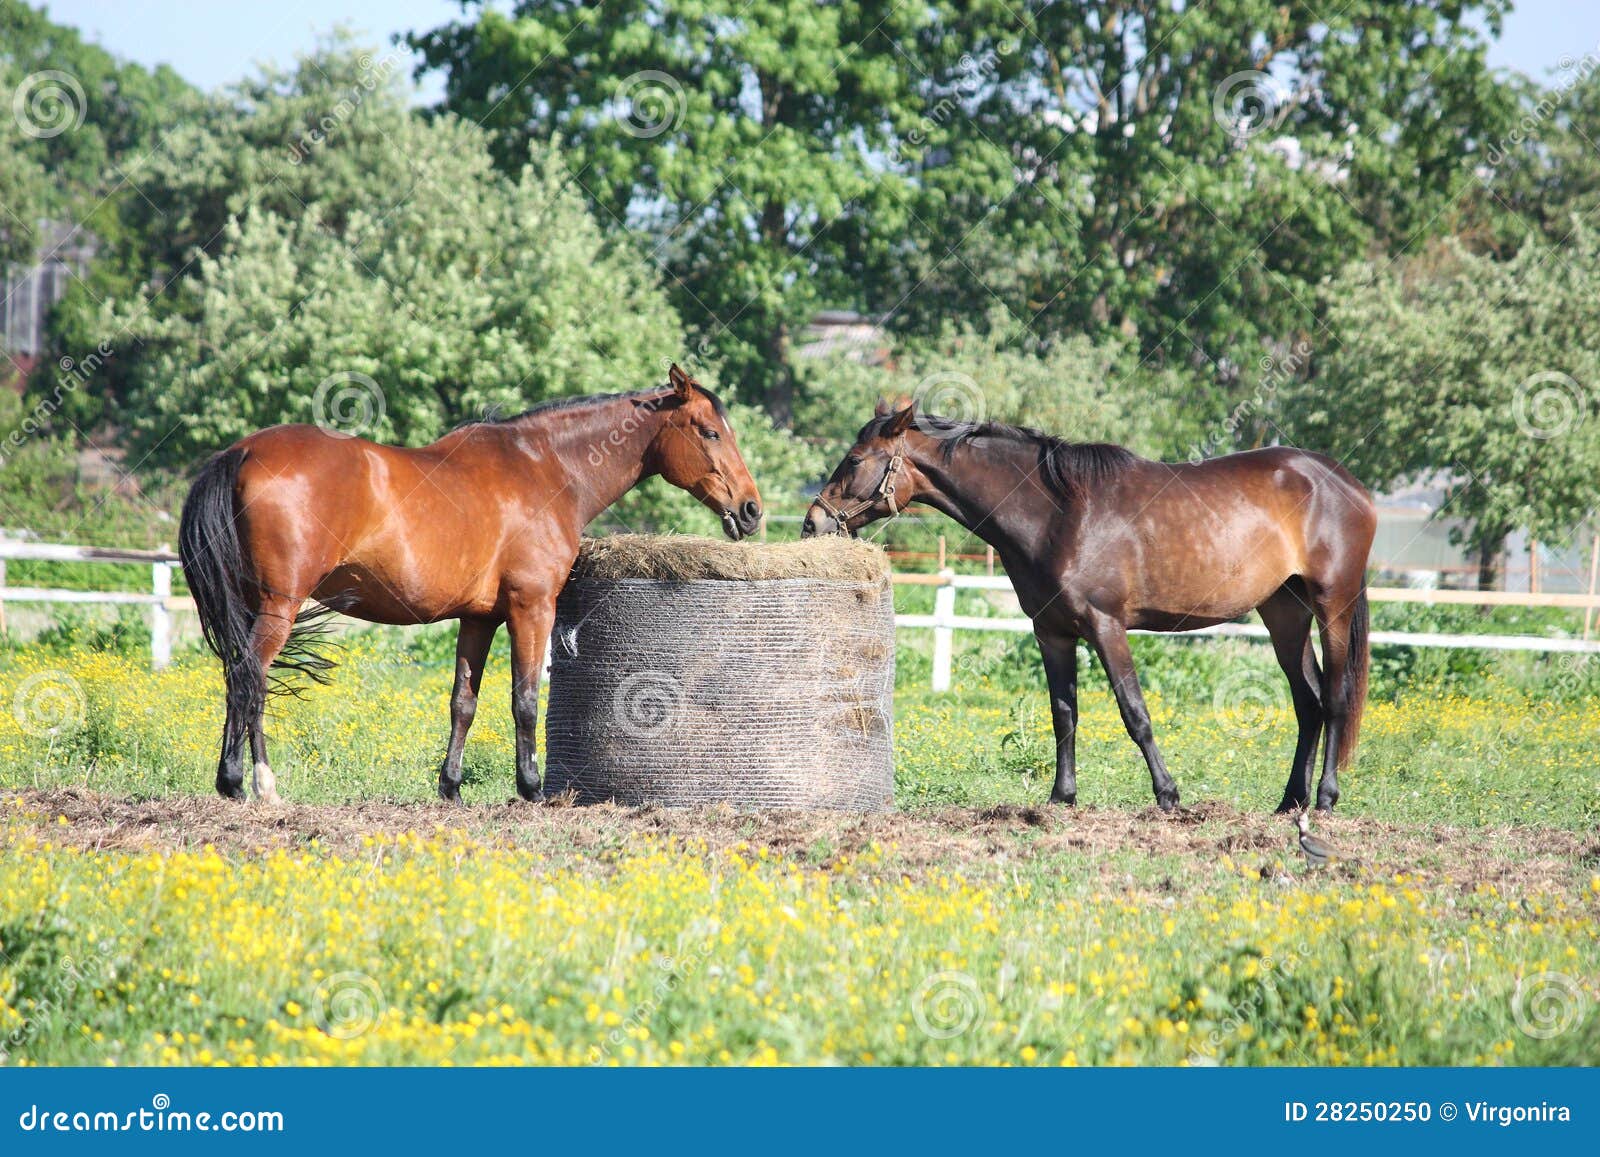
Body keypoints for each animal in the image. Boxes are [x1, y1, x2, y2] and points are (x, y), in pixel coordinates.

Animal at [178, 365, 763, 805]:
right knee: (250, 678)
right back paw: (251, 784)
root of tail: (242, 453)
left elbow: (464, 701)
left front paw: (451, 788)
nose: (751, 510)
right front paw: (531, 788)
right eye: (710, 432)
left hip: (254, 606)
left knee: (243, 680)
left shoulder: (479, 618)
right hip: (280, 606)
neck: (547, 467)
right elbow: (525, 698)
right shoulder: (532, 607)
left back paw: (243, 783)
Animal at [802, 401, 1375, 813]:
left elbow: (1134, 712)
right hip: (1284, 614)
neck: (1059, 514)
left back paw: (1324, 798)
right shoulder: (1052, 633)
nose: (813, 522)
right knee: (1308, 702)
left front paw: (1168, 795)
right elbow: (1064, 714)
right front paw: (1062, 796)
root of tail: (1345, 482)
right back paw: (1289, 802)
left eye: (854, 460)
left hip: (1332, 607)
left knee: (1335, 698)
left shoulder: (1106, 627)